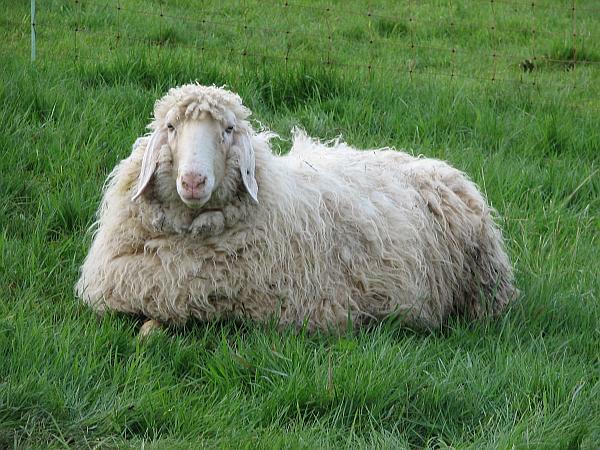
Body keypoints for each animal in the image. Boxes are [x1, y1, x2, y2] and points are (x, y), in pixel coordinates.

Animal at [74, 82, 516, 334]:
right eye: (170, 128)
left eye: (228, 130)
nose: (193, 181)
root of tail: (438, 166)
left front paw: (150, 330)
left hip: (482, 287)